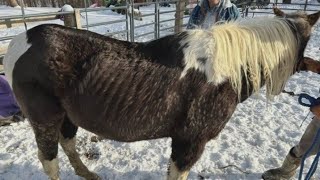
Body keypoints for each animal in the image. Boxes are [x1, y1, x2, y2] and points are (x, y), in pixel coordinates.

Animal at [3, 7, 320, 180]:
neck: (224, 70)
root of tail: (20, 41)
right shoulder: (189, 142)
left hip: (67, 116)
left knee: (67, 143)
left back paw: (88, 173)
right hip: (44, 118)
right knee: (49, 158)